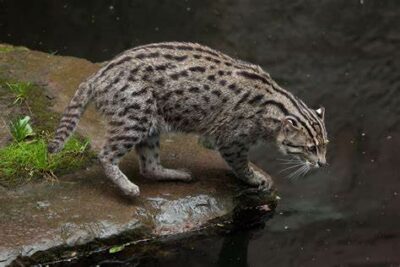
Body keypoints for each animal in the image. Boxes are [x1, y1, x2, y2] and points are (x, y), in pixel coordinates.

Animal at [47, 41, 328, 197]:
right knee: (105, 155)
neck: (275, 105)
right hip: (135, 116)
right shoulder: (232, 139)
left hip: (149, 125)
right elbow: (239, 164)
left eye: (325, 145)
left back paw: (173, 174)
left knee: (149, 166)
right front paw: (254, 177)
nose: (323, 164)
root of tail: (98, 75)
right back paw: (126, 187)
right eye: (310, 148)